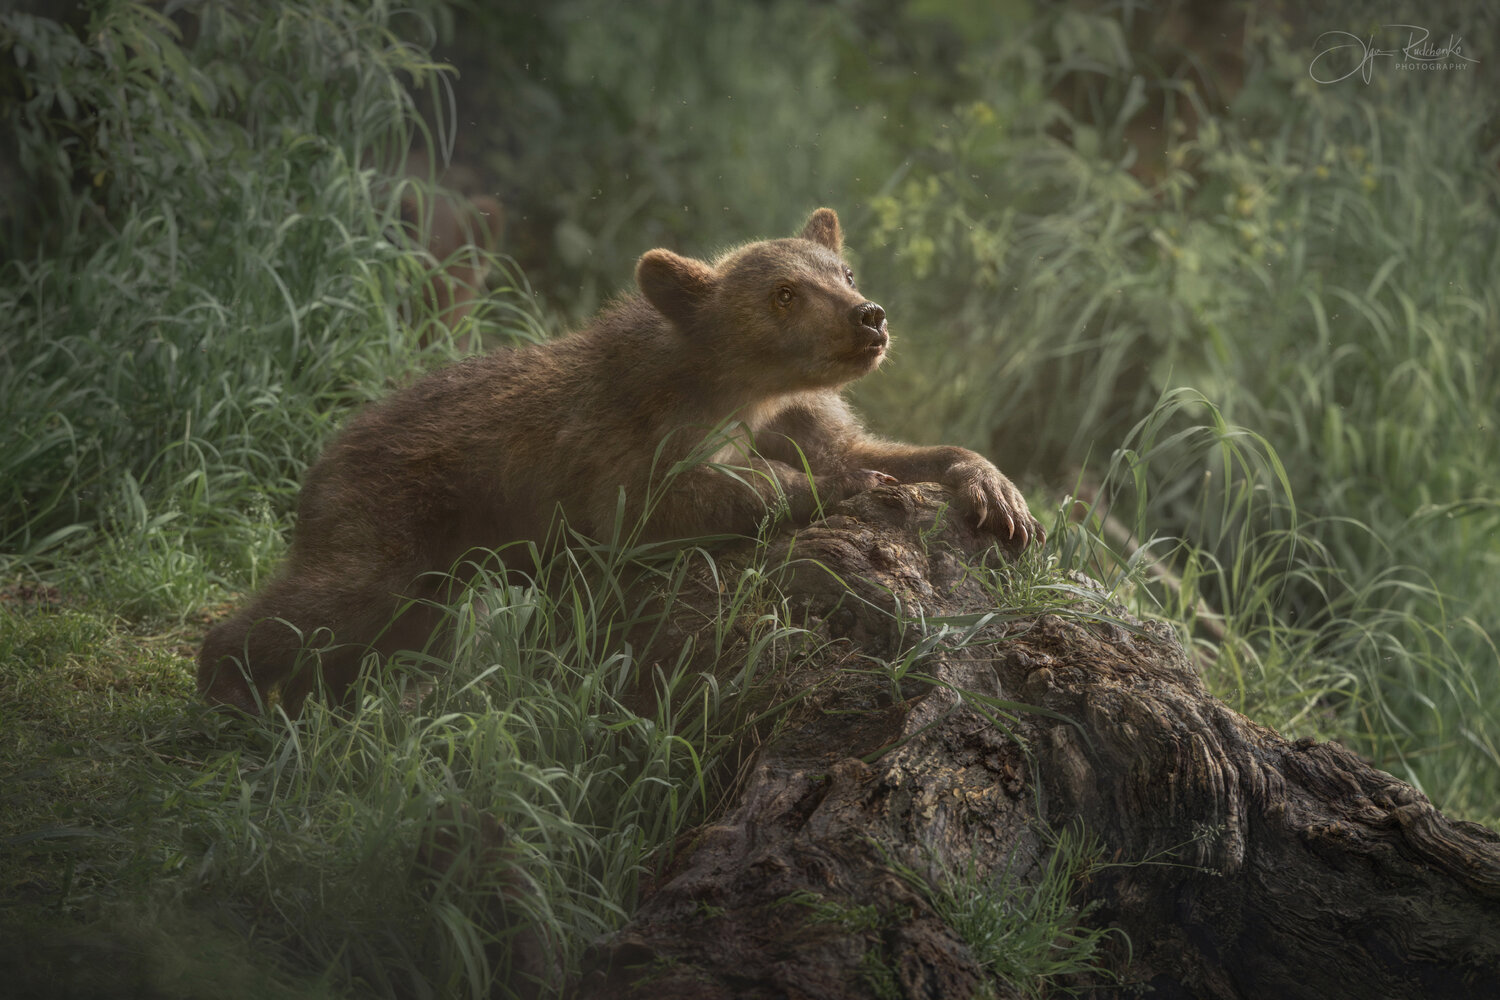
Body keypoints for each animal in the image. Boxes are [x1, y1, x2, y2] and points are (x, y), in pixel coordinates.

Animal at [198, 208, 1043, 714]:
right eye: (783, 292)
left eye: (843, 273)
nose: (869, 317)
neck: (747, 392)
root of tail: (321, 455)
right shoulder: (629, 443)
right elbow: (672, 500)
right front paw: (838, 485)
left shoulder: (802, 413)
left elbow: (873, 445)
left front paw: (994, 490)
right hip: (388, 520)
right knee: (326, 603)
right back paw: (225, 681)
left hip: (433, 582)